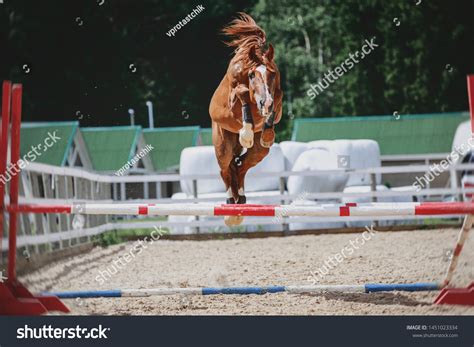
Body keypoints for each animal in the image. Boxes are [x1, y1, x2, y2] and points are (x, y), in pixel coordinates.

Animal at [208, 13, 282, 227]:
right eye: (251, 75)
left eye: (272, 73)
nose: (265, 103)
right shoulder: (234, 94)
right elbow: (241, 93)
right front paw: (247, 133)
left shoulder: (276, 94)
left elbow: (277, 98)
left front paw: (267, 133)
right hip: (222, 144)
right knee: (225, 169)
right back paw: (230, 206)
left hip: (259, 152)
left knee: (240, 166)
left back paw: (240, 200)